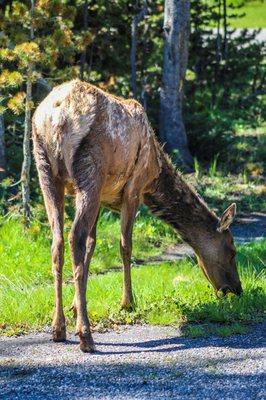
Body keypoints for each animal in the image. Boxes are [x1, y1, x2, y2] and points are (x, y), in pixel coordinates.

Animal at [32, 79, 242, 352]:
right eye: (232, 249)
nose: (237, 290)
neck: (155, 169)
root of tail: (56, 116)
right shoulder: (133, 188)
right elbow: (125, 246)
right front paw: (128, 302)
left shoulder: (102, 199)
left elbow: (92, 245)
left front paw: (76, 305)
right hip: (91, 168)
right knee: (74, 237)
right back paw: (85, 335)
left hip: (45, 170)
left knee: (57, 241)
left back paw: (58, 328)